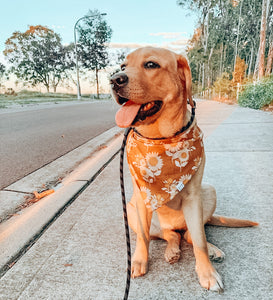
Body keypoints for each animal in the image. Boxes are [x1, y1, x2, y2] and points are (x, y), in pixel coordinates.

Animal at [109, 47, 258, 292]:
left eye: (151, 65)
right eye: (123, 66)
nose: (114, 80)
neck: (161, 139)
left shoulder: (194, 197)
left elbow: (199, 242)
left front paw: (207, 272)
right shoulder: (140, 199)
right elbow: (142, 238)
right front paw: (139, 260)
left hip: (208, 192)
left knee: (189, 235)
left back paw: (211, 249)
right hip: (130, 208)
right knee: (170, 235)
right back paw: (172, 250)